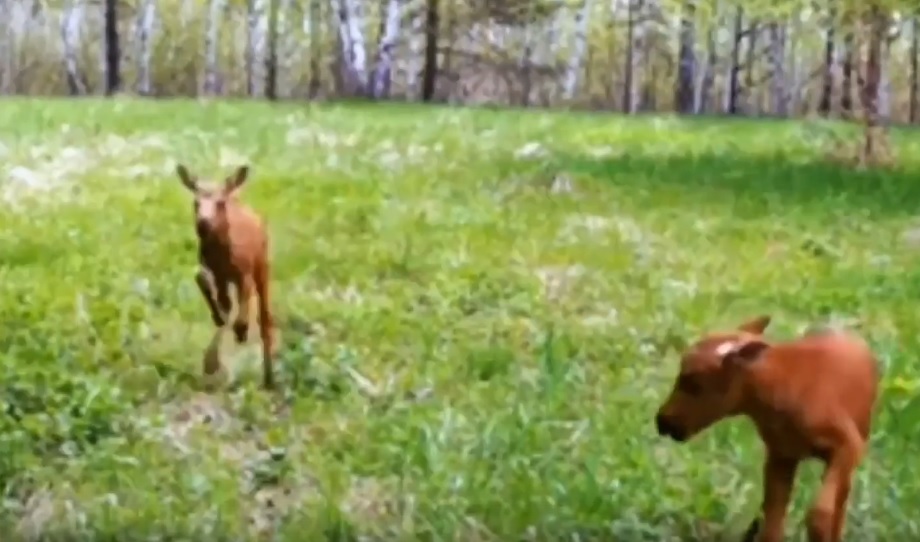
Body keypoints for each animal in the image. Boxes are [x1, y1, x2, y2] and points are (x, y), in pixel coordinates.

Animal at [176, 166, 274, 392]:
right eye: (195, 203)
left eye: (220, 203)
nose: (203, 223)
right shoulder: (216, 273)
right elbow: (205, 284)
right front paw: (211, 362)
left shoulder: (244, 271)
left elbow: (242, 306)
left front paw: (241, 330)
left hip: (262, 264)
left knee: (265, 316)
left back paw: (269, 378)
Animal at [652, 316, 880, 540]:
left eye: (693, 383)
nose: (662, 421)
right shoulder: (781, 455)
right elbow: (772, 524)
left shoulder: (849, 445)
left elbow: (820, 514)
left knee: (839, 504)